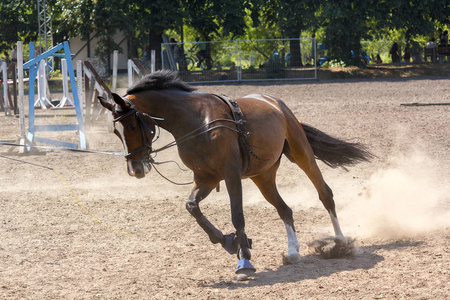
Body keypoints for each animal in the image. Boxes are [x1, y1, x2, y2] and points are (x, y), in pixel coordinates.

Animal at [99, 70, 372, 278]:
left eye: (131, 125)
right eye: (115, 131)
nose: (135, 169)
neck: (196, 122)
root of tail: (274, 102)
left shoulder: (230, 175)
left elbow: (237, 216)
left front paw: (244, 260)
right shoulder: (206, 178)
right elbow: (192, 207)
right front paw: (227, 241)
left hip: (302, 154)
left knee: (325, 195)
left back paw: (340, 242)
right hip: (263, 176)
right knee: (285, 210)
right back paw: (293, 252)